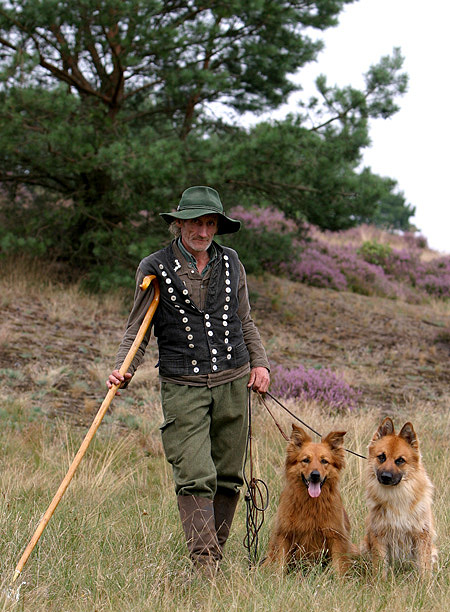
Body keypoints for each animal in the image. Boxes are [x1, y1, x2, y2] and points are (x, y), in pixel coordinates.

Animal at [262, 426, 356, 572]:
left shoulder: (336, 537)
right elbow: (280, 564)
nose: (315, 475)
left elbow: (338, 567)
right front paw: (277, 577)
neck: (311, 503)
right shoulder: (284, 534)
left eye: (324, 461)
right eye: (306, 460)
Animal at [364, 418, 438, 576]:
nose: (386, 477)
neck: (397, 495)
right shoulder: (379, 535)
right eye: (381, 457)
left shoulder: (422, 535)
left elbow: (424, 567)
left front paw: (424, 582)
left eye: (400, 460)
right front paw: (379, 581)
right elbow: (380, 566)